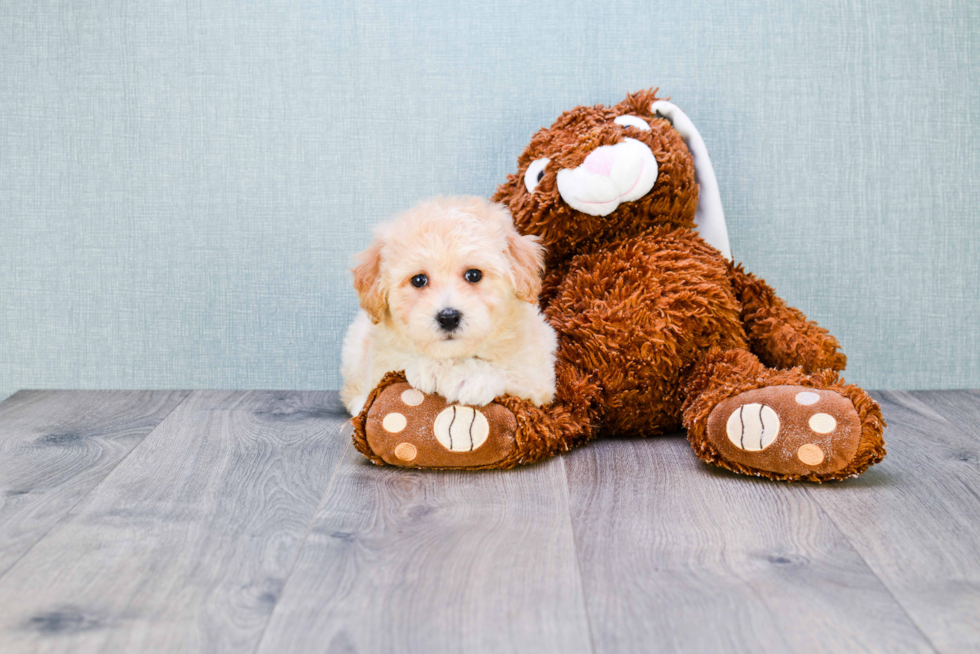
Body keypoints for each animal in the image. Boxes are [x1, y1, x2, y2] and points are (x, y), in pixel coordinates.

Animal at [338, 197, 556, 418]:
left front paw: (471, 379)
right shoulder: (382, 358)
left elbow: (508, 370)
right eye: (418, 280)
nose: (448, 317)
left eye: (474, 275)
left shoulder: (536, 376)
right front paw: (430, 368)